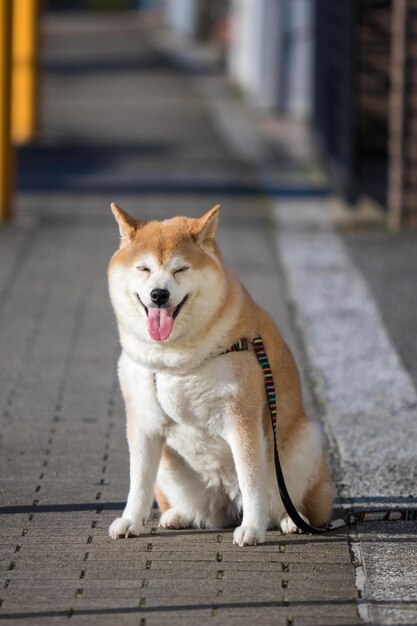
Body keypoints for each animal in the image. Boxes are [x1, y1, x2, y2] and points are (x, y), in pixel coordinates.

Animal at [107, 202, 332, 544]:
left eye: (181, 269)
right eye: (143, 269)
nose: (159, 294)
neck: (175, 360)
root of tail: (227, 500)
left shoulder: (241, 418)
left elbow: (252, 481)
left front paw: (252, 528)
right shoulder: (143, 421)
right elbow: (139, 482)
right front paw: (131, 521)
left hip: (302, 446)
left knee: (284, 500)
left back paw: (291, 521)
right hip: (172, 472)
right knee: (199, 510)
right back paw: (177, 516)